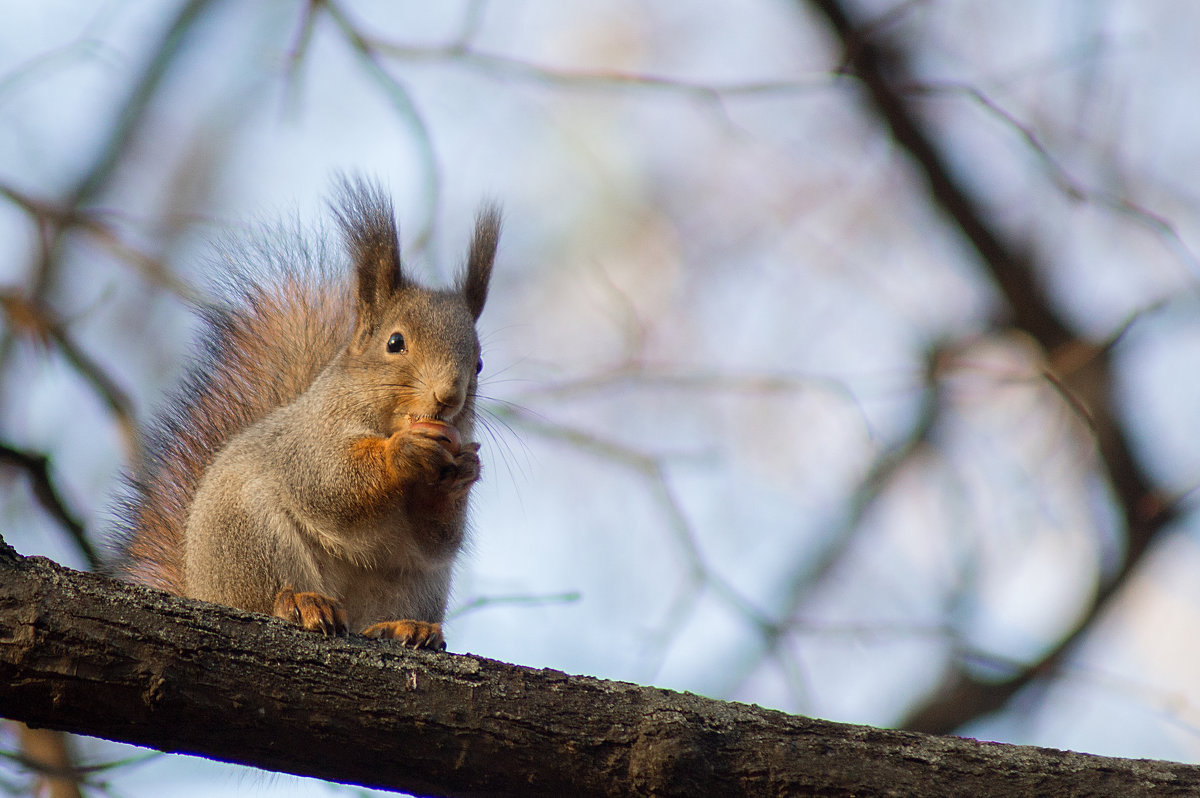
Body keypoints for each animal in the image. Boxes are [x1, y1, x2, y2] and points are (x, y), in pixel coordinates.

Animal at [113, 178, 501, 648]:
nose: (448, 397)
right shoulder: (310, 439)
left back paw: (404, 626)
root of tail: (198, 586)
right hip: (251, 536)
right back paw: (300, 602)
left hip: (416, 583)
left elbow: (439, 539)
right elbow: (331, 482)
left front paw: (463, 471)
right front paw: (403, 451)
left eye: (478, 364)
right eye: (395, 343)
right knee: (265, 595)